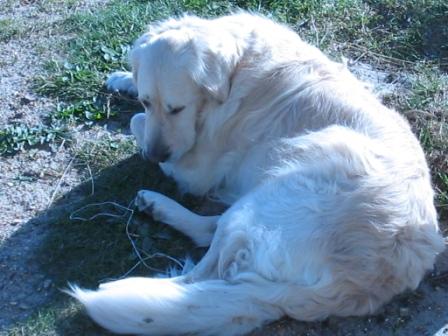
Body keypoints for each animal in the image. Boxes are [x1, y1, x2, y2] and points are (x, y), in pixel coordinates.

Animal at [69, 12, 444, 334]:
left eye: (178, 108)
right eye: (148, 100)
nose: (154, 155)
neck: (237, 65)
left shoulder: (197, 168)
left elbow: (137, 124)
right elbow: (138, 107)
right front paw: (122, 78)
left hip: (280, 188)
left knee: (197, 278)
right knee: (210, 234)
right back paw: (156, 206)